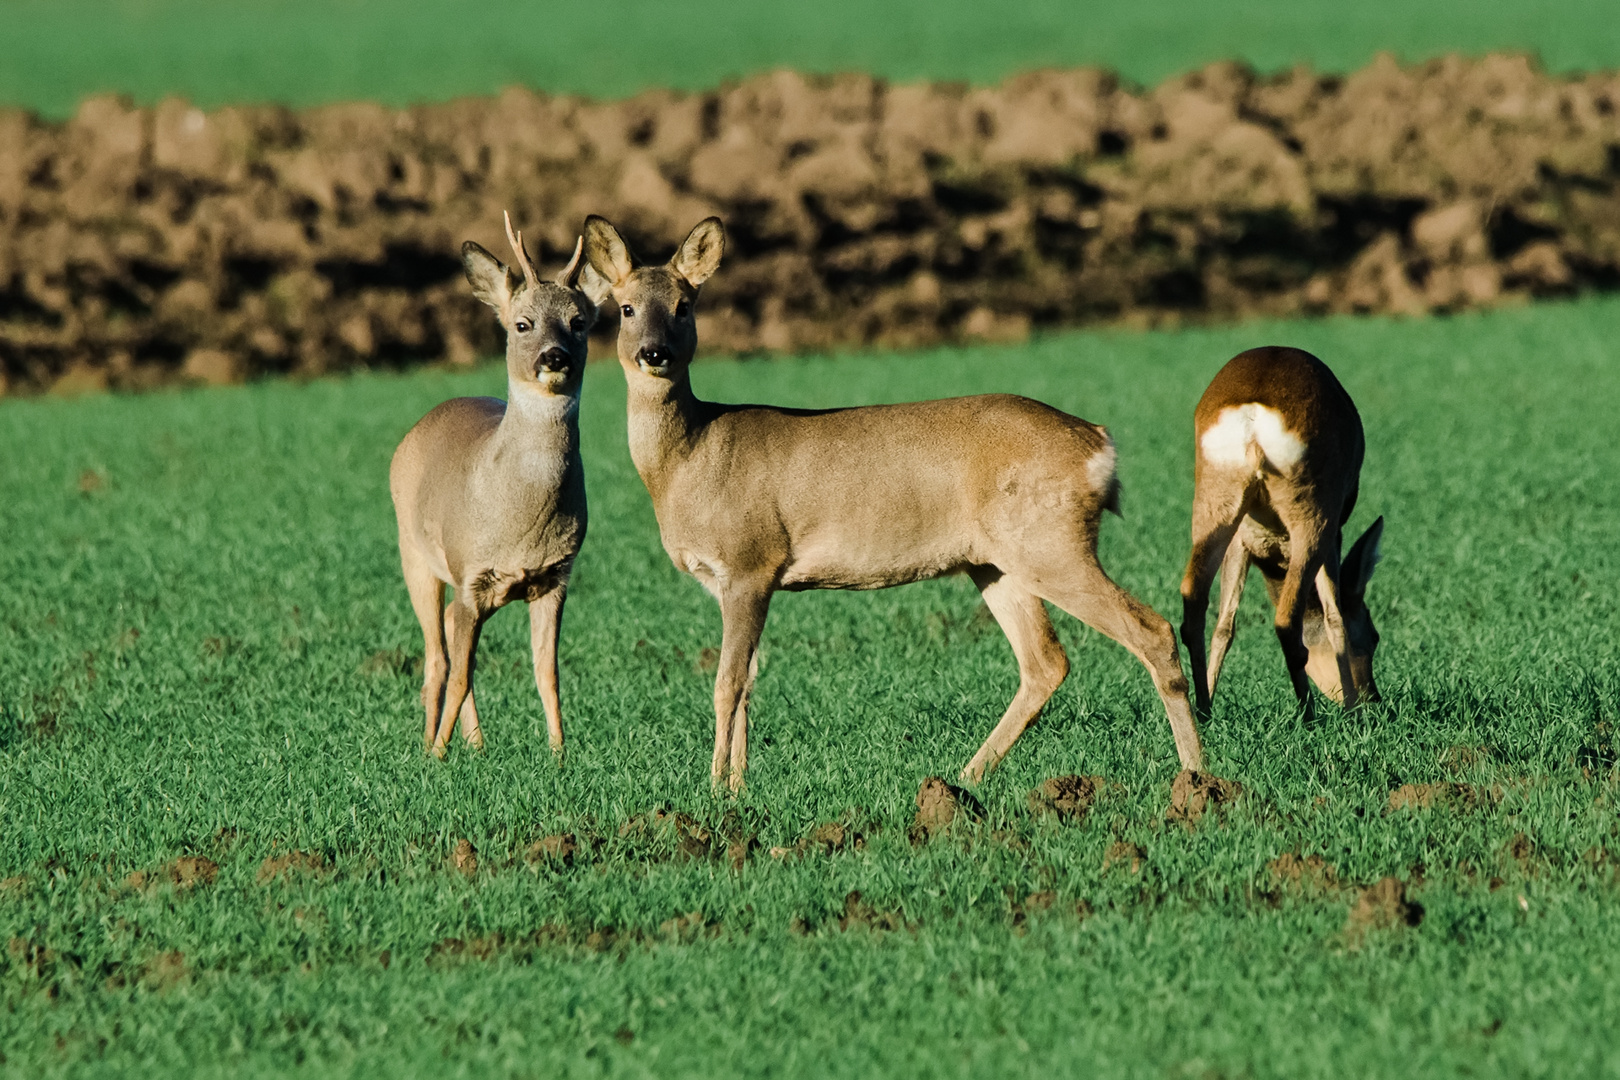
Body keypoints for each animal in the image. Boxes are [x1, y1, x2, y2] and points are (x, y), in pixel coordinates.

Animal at [387, 213, 609, 761]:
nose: (554, 357)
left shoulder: (556, 576)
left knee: (449, 641)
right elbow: (461, 672)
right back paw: (432, 742)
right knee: (438, 657)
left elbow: (547, 672)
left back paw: (476, 743)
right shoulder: (470, 573)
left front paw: (559, 754)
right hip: (414, 553)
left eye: (579, 322)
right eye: (522, 324)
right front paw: (438, 755)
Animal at [583, 216, 1205, 793]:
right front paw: (738, 786)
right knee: (1046, 662)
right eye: (625, 308)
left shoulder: (750, 561)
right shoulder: (732, 581)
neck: (693, 457)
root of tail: (1099, 444)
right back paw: (965, 777)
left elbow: (726, 683)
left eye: (685, 305)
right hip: (996, 561)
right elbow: (750, 681)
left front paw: (715, 790)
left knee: (1151, 630)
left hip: (1051, 543)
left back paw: (1196, 776)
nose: (655, 353)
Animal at [1172, 346, 1386, 718]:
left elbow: (1225, 625)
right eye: (1374, 636)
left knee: (1194, 601)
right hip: (1313, 512)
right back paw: (1309, 715)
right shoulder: (1334, 533)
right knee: (1287, 619)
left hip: (1215, 503)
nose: (1372, 698)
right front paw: (1350, 710)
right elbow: (1335, 616)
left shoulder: (1243, 539)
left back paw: (1203, 709)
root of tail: (1253, 414)